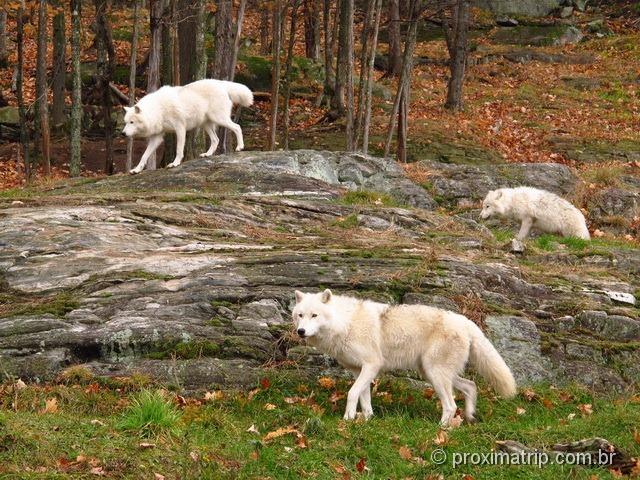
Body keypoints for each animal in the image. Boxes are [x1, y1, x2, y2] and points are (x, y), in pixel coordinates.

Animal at [124, 79, 254, 174]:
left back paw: (240, 147)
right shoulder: (156, 138)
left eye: (132, 122)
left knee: (237, 127)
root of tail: (220, 83)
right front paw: (136, 170)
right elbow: (144, 156)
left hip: (219, 119)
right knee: (216, 139)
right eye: (125, 122)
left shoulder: (180, 128)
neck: (158, 110)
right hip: (206, 125)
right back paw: (207, 154)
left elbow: (179, 149)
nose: (123, 133)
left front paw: (175, 163)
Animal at [292, 288, 516, 428]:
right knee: (471, 386)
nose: (300, 332)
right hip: (432, 373)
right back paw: (469, 417)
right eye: (300, 315)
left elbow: (352, 393)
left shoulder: (372, 365)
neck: (345, 323)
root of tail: (465, 320)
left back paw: (441, 429)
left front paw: (348, 419)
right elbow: (364, 398)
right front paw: (367, 419)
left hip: (435, 375)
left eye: (314, 315)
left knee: (451, 405)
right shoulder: (359, 370)